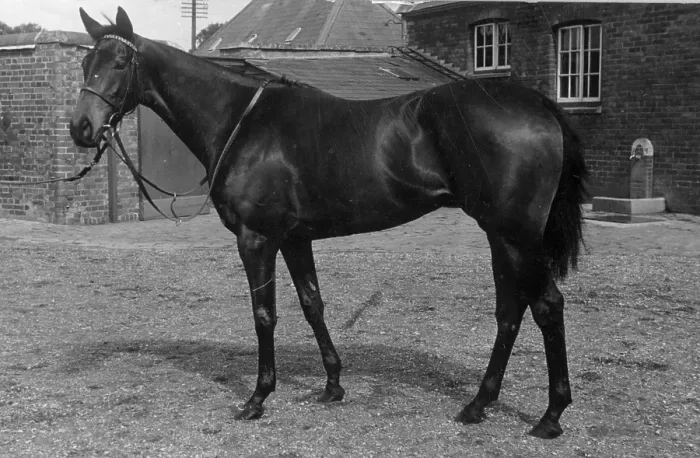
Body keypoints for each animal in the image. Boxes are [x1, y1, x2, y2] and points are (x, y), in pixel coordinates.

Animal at [69, 7, 588, 439]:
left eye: (120, 62)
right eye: (87, 62)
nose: (81, 128)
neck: (241, 123)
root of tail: (537, 103)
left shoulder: (256, 239)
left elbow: (264, 314)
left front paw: (257, 398)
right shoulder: (295, 239)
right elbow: (312, 304)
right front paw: (333, 385)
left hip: (517, 235)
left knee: (547, 306)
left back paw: (550, 416)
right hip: (498, 234)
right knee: (510, 311)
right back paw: (479, 404)